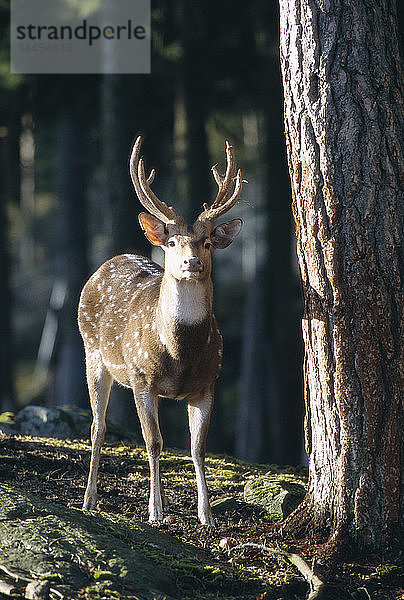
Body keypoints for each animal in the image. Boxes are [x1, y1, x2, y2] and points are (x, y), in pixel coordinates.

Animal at [78, 136, 243, 524]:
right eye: (172, 242)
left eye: (207, 242)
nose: (191, 262)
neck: (179, 352)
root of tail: (107, 262)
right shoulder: (141, 378)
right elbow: (153, 442)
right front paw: (154, 512)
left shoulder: (207, 383)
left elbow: (197, 447)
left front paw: (205, 514)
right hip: (93, 354)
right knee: (98, 426)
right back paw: (89, 500)